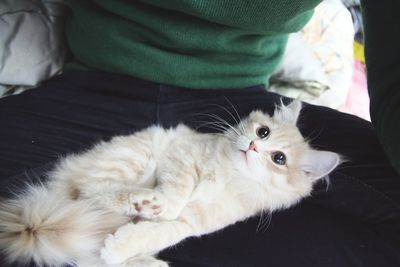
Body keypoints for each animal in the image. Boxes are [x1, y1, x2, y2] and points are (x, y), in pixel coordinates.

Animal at [0, 101, 340, 267]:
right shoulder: (183, 157)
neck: (229, 175)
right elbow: (176, 195)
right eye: (263, 132)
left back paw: (144, 261)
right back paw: (139, 202)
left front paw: (121, 246)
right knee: (92, 191)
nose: (254, 147)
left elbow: (158, 231)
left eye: (279, 158)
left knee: (89, 253)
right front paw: (157, 206)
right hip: (132, 158)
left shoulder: (193, 222)